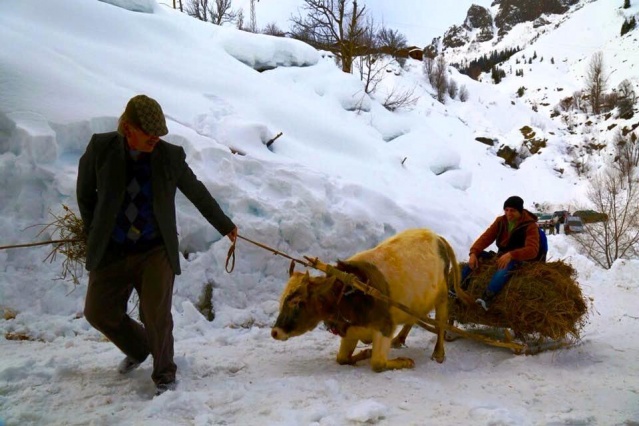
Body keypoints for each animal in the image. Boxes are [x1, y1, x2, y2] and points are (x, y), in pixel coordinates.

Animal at [270, 228, 460, 372]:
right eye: (281, 301)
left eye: (298, 302)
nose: (275, 332)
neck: (347, 294)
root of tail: (437, 236)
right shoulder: (350, 331)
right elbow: (341, 358)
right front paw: (365, 353)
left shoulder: (384, 326)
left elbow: (378, 364)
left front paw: (404, 361)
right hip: (417, 299)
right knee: (414, 317)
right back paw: (399, 340)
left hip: (442, 296)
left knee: (440, 323)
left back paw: (438, 353)